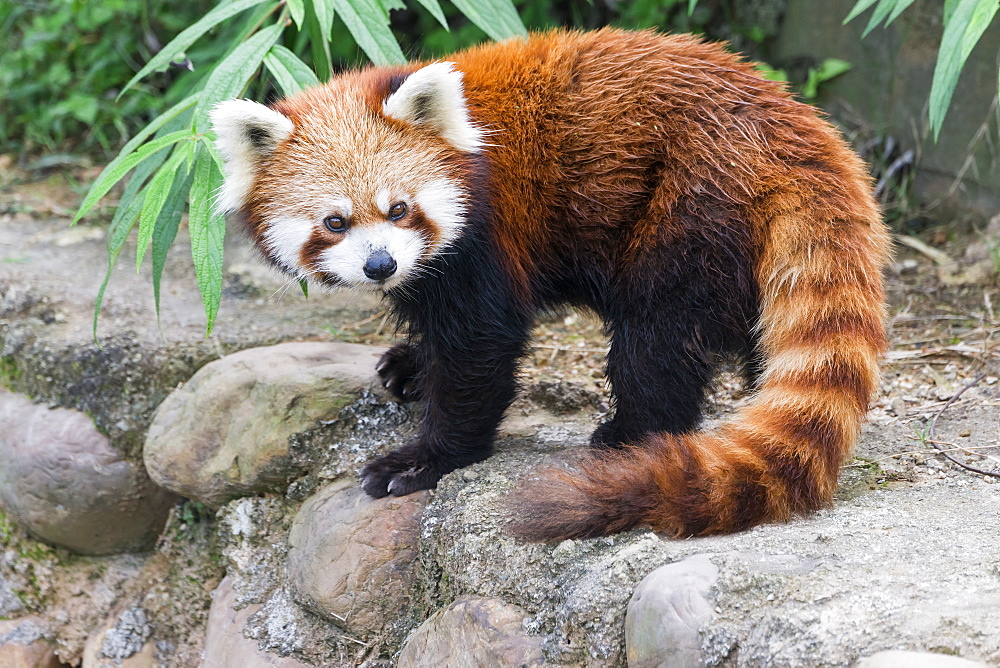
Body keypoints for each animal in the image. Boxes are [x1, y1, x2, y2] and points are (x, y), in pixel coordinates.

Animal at [213, 27, 892, 544]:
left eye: (399, 209)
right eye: (336, 222)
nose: (380, 265)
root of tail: (796, 126)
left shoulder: (486, 235)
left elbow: (480, 348)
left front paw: (425, 459)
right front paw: (409, 365)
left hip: (690, 207)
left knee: (658, 338)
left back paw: (631, 435)